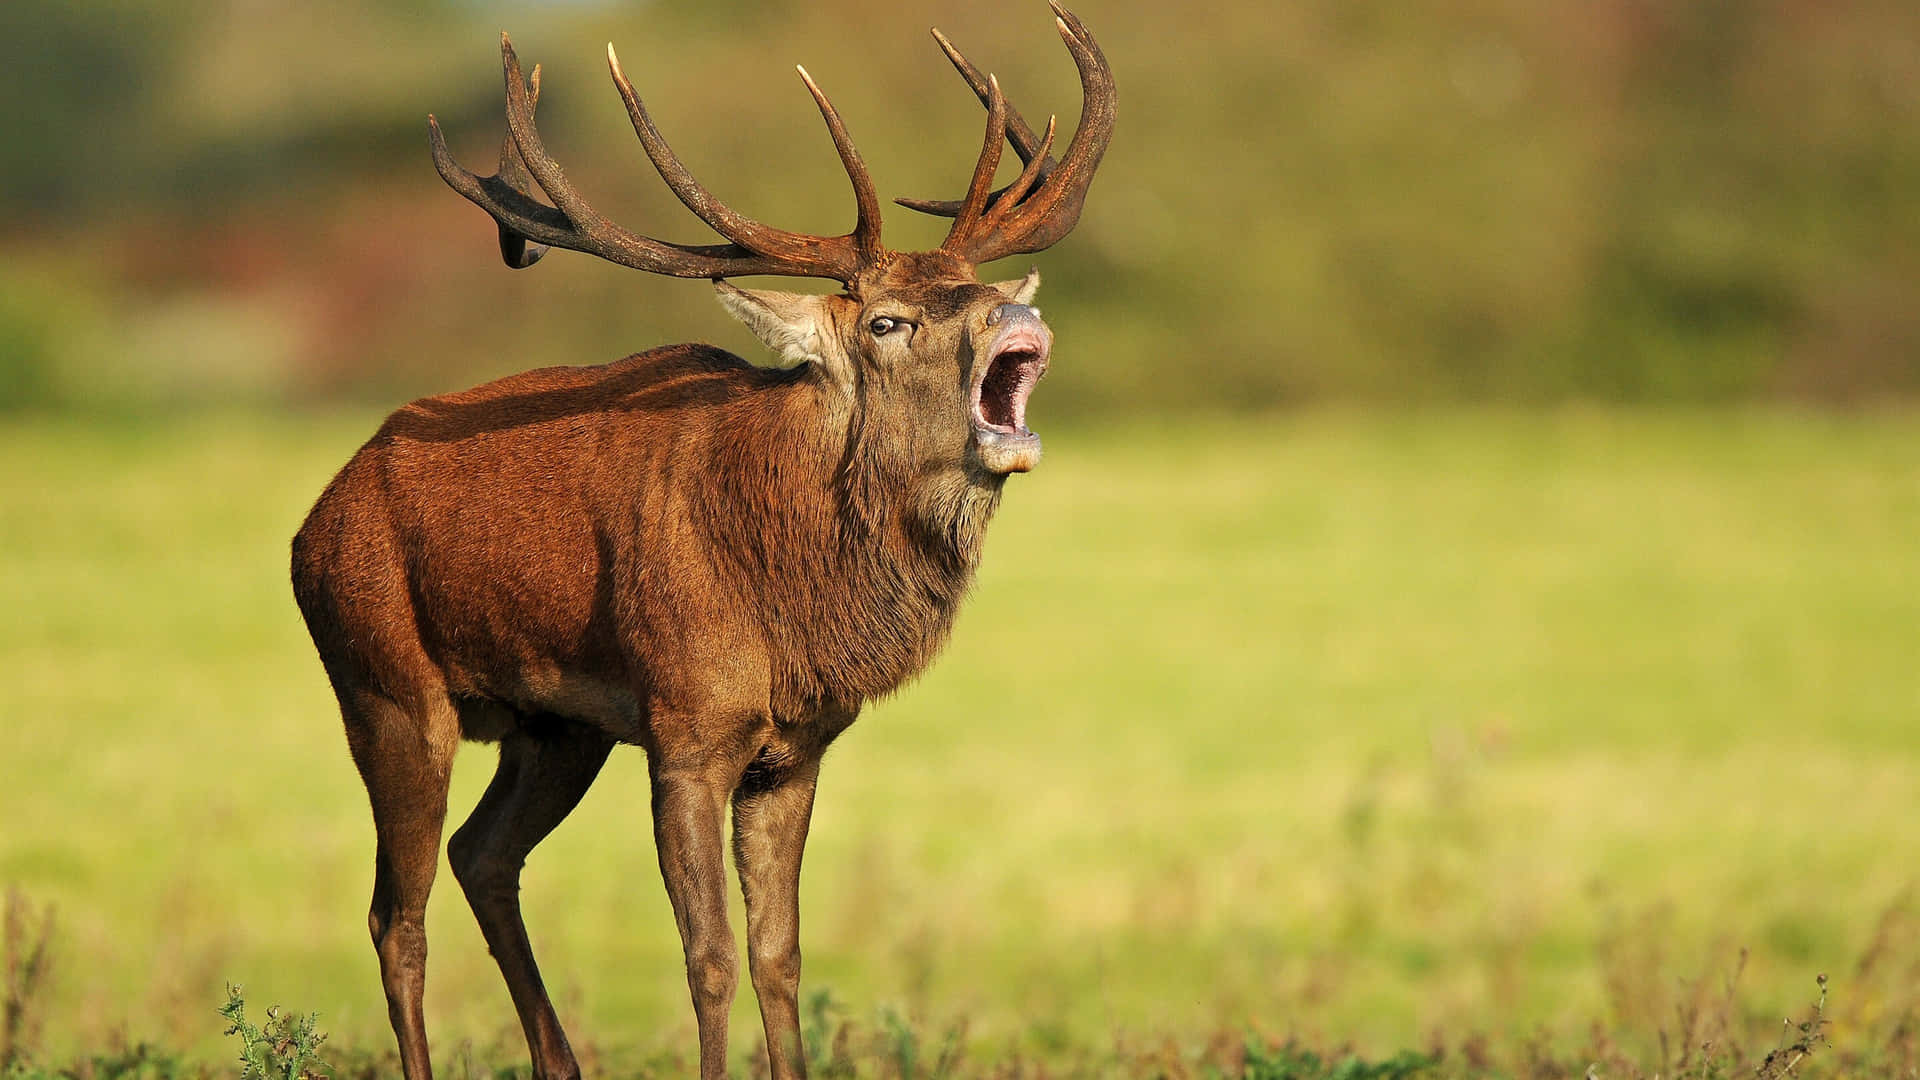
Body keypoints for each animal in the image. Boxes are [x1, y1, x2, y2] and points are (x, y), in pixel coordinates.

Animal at [290, 6, 1111, 1080]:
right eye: (888, 322)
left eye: (974, 290)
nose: (1017, 312)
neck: (791, 605)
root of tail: (314, 520)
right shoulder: (686, 727)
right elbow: (709, 956)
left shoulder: (796, 746)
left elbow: (780, 953)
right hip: (382, 684)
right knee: (397, 914)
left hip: (558, 727)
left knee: (483, 855)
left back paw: (562, 1062)